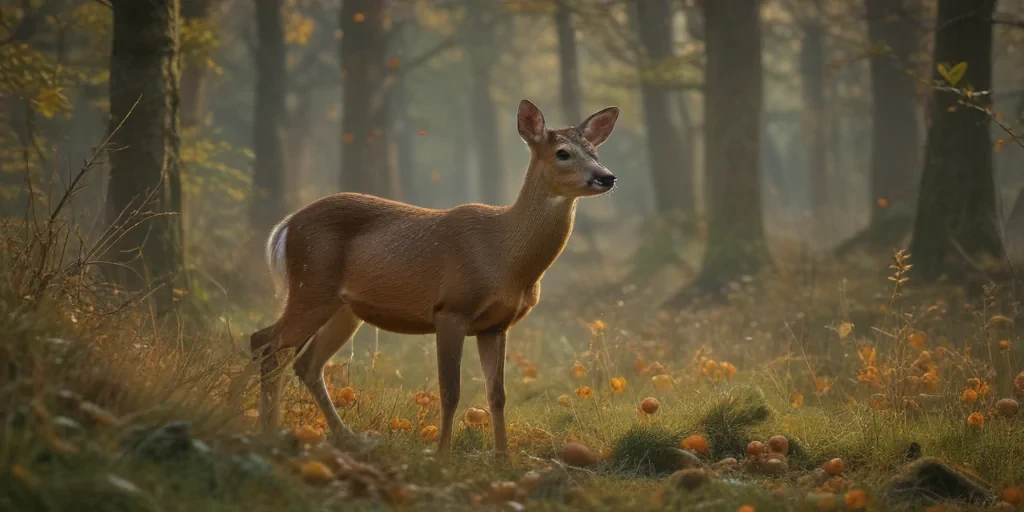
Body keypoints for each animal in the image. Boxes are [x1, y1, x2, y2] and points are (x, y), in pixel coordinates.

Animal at [249, 99, 619, 457]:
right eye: (563, 153)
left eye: (595, 152)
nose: (607, 177)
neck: (505, 257)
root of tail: (287, 225)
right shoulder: (451, 309)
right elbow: (450, 391)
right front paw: (441, 457)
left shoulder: (495, 325)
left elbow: (497, 394)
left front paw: (503, 459)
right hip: (311, 285)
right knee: (267, 346)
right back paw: (268, 433)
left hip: (344, 308)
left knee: (302, 361)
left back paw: (342, 437)